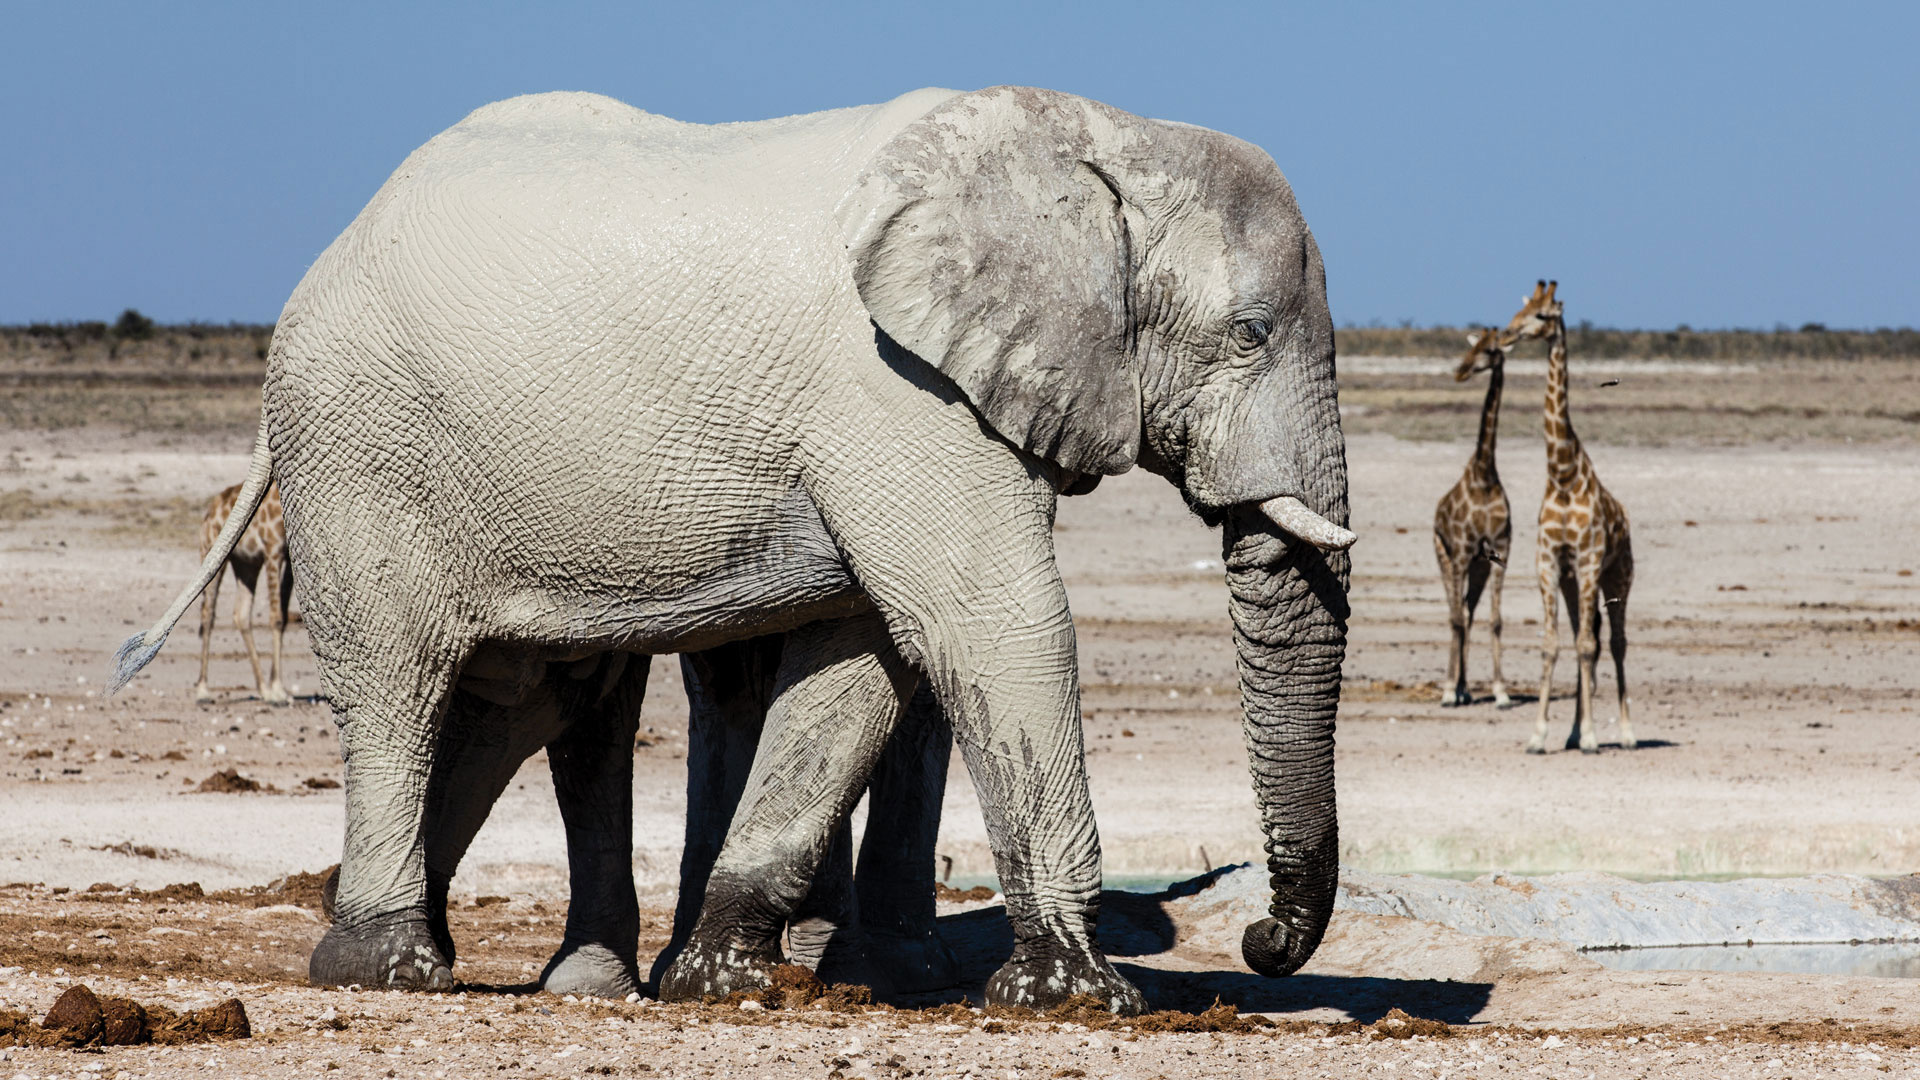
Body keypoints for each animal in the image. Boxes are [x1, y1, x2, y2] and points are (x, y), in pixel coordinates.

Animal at [192, 480, 291, 707]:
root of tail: (209, 512)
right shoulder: (273, 550)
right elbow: (276, 618)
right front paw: (277, 691)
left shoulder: (289, 558)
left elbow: (283, 616)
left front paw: (276, 687)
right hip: (212, 553)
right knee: (207, 615)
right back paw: (203, 690)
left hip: (247, 564)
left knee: (242, 614)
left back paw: (262, 688)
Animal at [1497, 276, 1635, 749]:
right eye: (1519, 310)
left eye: (1541, 315)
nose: (1505, 336)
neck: (1562, 475)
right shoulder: (1549, 561)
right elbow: (1554, 644)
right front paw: (1540, 734)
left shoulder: (1590, 560)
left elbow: (1590, 646)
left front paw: (1593, 734)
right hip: (1576, 583)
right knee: (1582, 637)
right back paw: (1574, 731)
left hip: (1618, 577)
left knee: (1615, 643)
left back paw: (1625, 732)